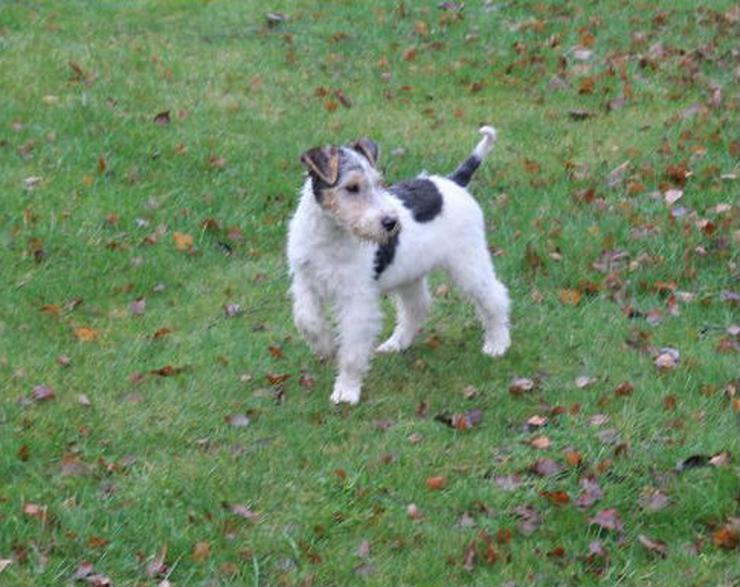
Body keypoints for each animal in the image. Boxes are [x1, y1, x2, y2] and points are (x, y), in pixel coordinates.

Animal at [288, 127, 508, 404]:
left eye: (379, 182)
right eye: (351, 187)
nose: (391, 223)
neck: (330, 236)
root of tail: (453, 181)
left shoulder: (357, 299)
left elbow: (352, 352)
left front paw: (346, 391)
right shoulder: (305, 281)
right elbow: (306, 320)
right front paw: (326, 347)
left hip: (468, 262)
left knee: (495, 297)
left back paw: (497, 344)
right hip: (409, 274)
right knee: (417, 307)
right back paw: (396, 344)